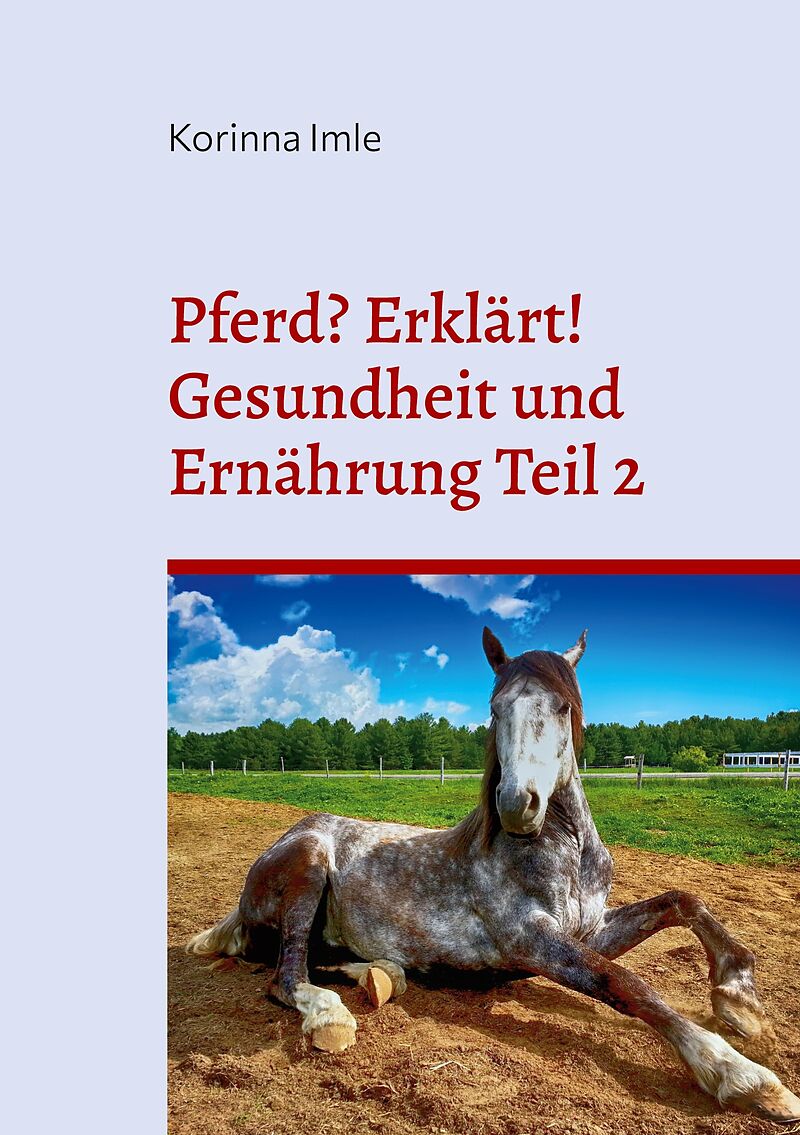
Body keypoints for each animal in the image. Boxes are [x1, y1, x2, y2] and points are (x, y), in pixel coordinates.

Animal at [187, 628, 800, 1124]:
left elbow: (683, 901)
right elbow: (626, 983)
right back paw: (329, 1016)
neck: (563, 851)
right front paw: (745, 1077)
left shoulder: (590, 929)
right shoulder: (531, 942)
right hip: (310, 865)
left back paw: (383, 975)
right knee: (286, 974)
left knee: (322, 959)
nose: (515, 805)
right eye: (495, 707)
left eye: (562, 706)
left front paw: (740, 1002)